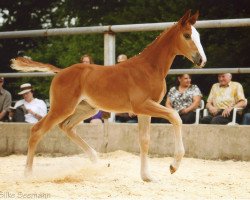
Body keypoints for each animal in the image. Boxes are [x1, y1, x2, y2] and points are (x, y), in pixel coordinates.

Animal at [11, 10, 207, 182]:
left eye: (198, 36)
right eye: (187, 35)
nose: (201, 60)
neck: (149, 68)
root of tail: (60, 71)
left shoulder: (144, 111)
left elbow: (144, 140)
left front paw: (147, 177)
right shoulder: (142, 105)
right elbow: (175, 117)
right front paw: (173, 166)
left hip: (87, 109)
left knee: (66, 127)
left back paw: (96, 161)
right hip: (62, 107)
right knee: (37, 130)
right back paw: (28, 174)